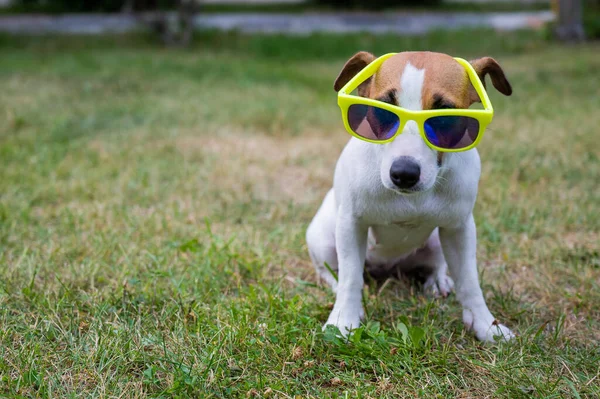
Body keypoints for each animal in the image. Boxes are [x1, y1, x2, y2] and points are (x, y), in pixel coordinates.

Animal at [308, 50, 512, 344]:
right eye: (382, 109)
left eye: (445, 116)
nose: (404, 173)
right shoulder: (351, 224)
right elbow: (350, 278)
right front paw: (343, 320)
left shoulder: (459, 229)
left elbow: (469, 281)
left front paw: (486, 324)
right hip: (323, 237)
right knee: (330, 271)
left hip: (437, 240)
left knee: (437, 265)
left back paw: (437, 281)